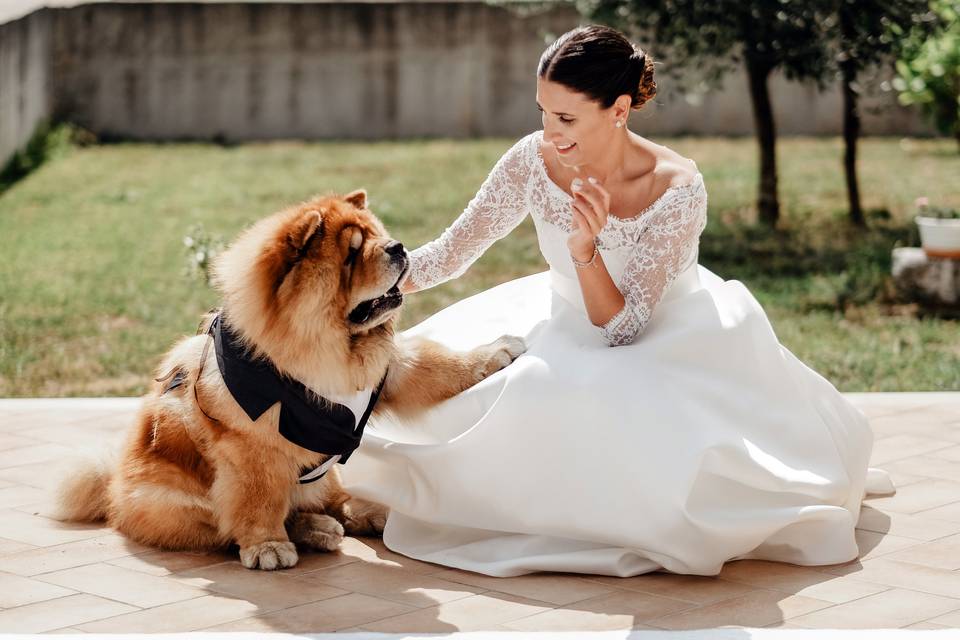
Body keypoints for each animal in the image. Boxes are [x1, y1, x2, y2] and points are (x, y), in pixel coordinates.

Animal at [54, 190, 524, 568]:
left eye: (377, 235)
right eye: (351, 254)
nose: (398, 247)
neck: (327, 354)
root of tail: (113, 488)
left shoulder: (389, 372)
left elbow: (438, 366)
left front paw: (498, 352)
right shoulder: (254, 449)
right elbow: (259, 502)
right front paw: (268, 548)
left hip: (322, 475)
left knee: (333, 498)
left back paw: (364, 512)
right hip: (173, 502)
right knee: (234, 525)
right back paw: (314, 532)